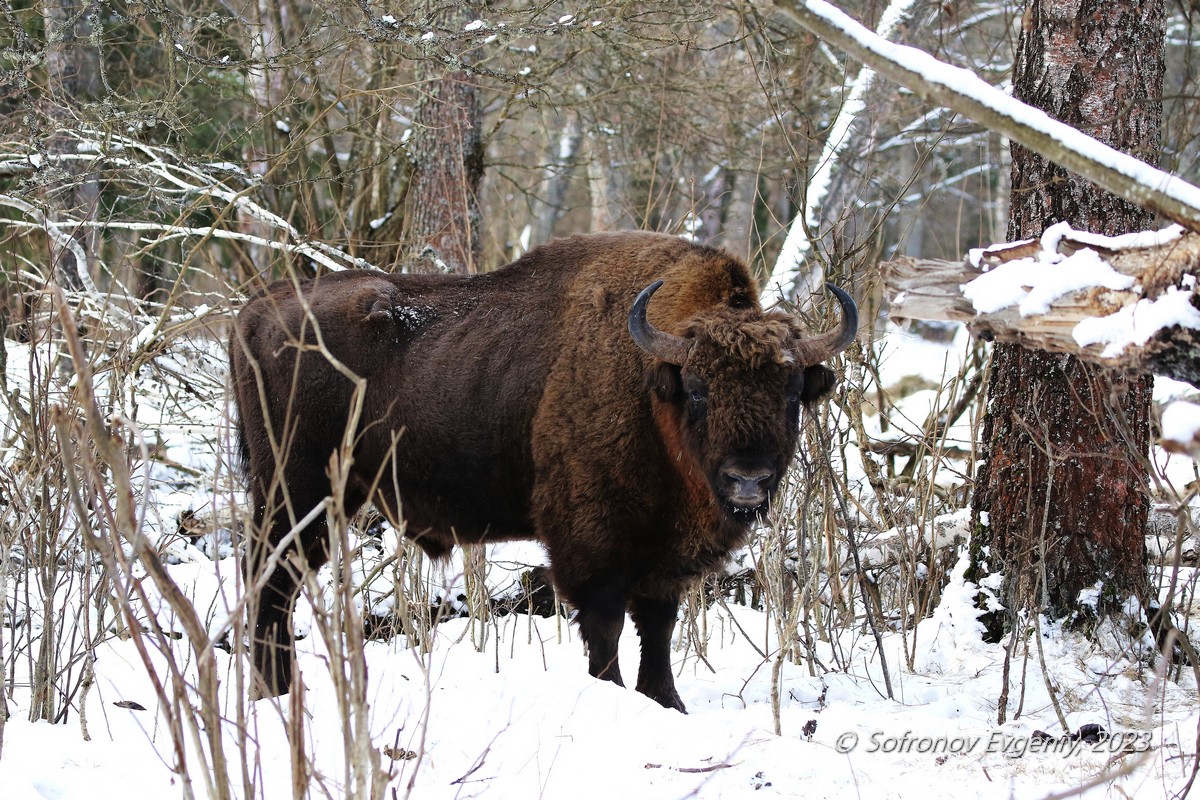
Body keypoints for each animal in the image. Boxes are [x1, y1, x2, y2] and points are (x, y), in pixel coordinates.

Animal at [231, 231, 854, 714]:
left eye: (792, 392)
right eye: (698, 390)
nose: (748, 479)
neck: (650, 385)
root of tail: (256, 309)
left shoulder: (664, 559)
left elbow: (657, 628)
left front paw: (667, 703)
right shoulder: (592, 544)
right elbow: (605, 627)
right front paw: (613, 695)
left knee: (276, 582)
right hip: (295, 489)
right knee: (271, 580)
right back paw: (273, 693)